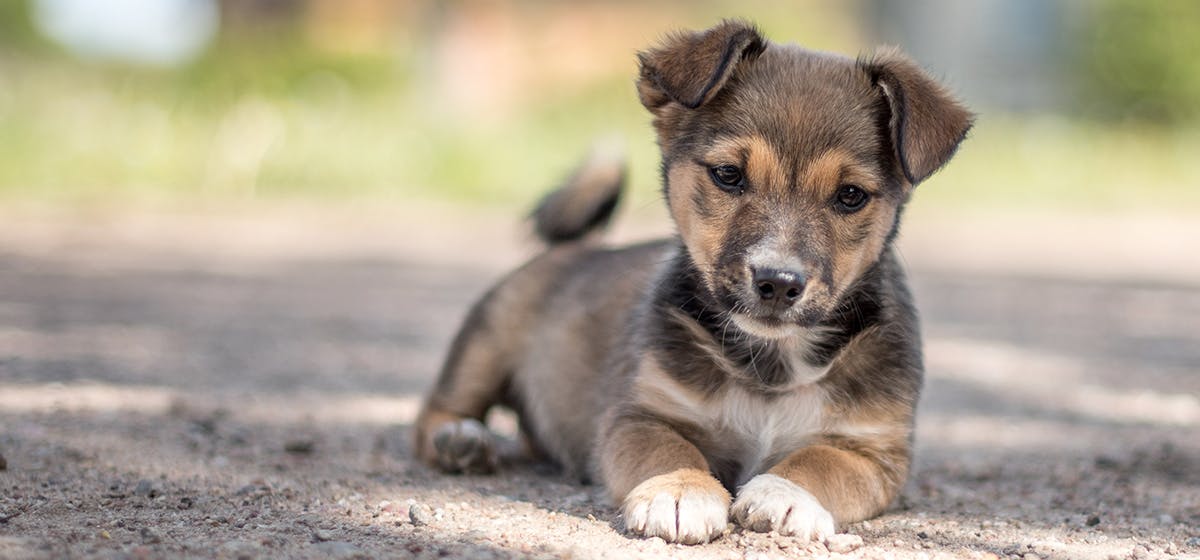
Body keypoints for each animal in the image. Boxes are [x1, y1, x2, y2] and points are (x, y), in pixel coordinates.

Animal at [410, 19, 964, 546]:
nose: (779, 282)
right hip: (483, 345)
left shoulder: (875, 450)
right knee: (435, 413)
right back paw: (460, 440)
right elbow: (671, 449)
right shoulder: (640, 417)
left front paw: (785, 494)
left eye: (850, 196)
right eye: (728, 175)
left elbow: (822, 461)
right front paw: (680, 492)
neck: (771, 363)